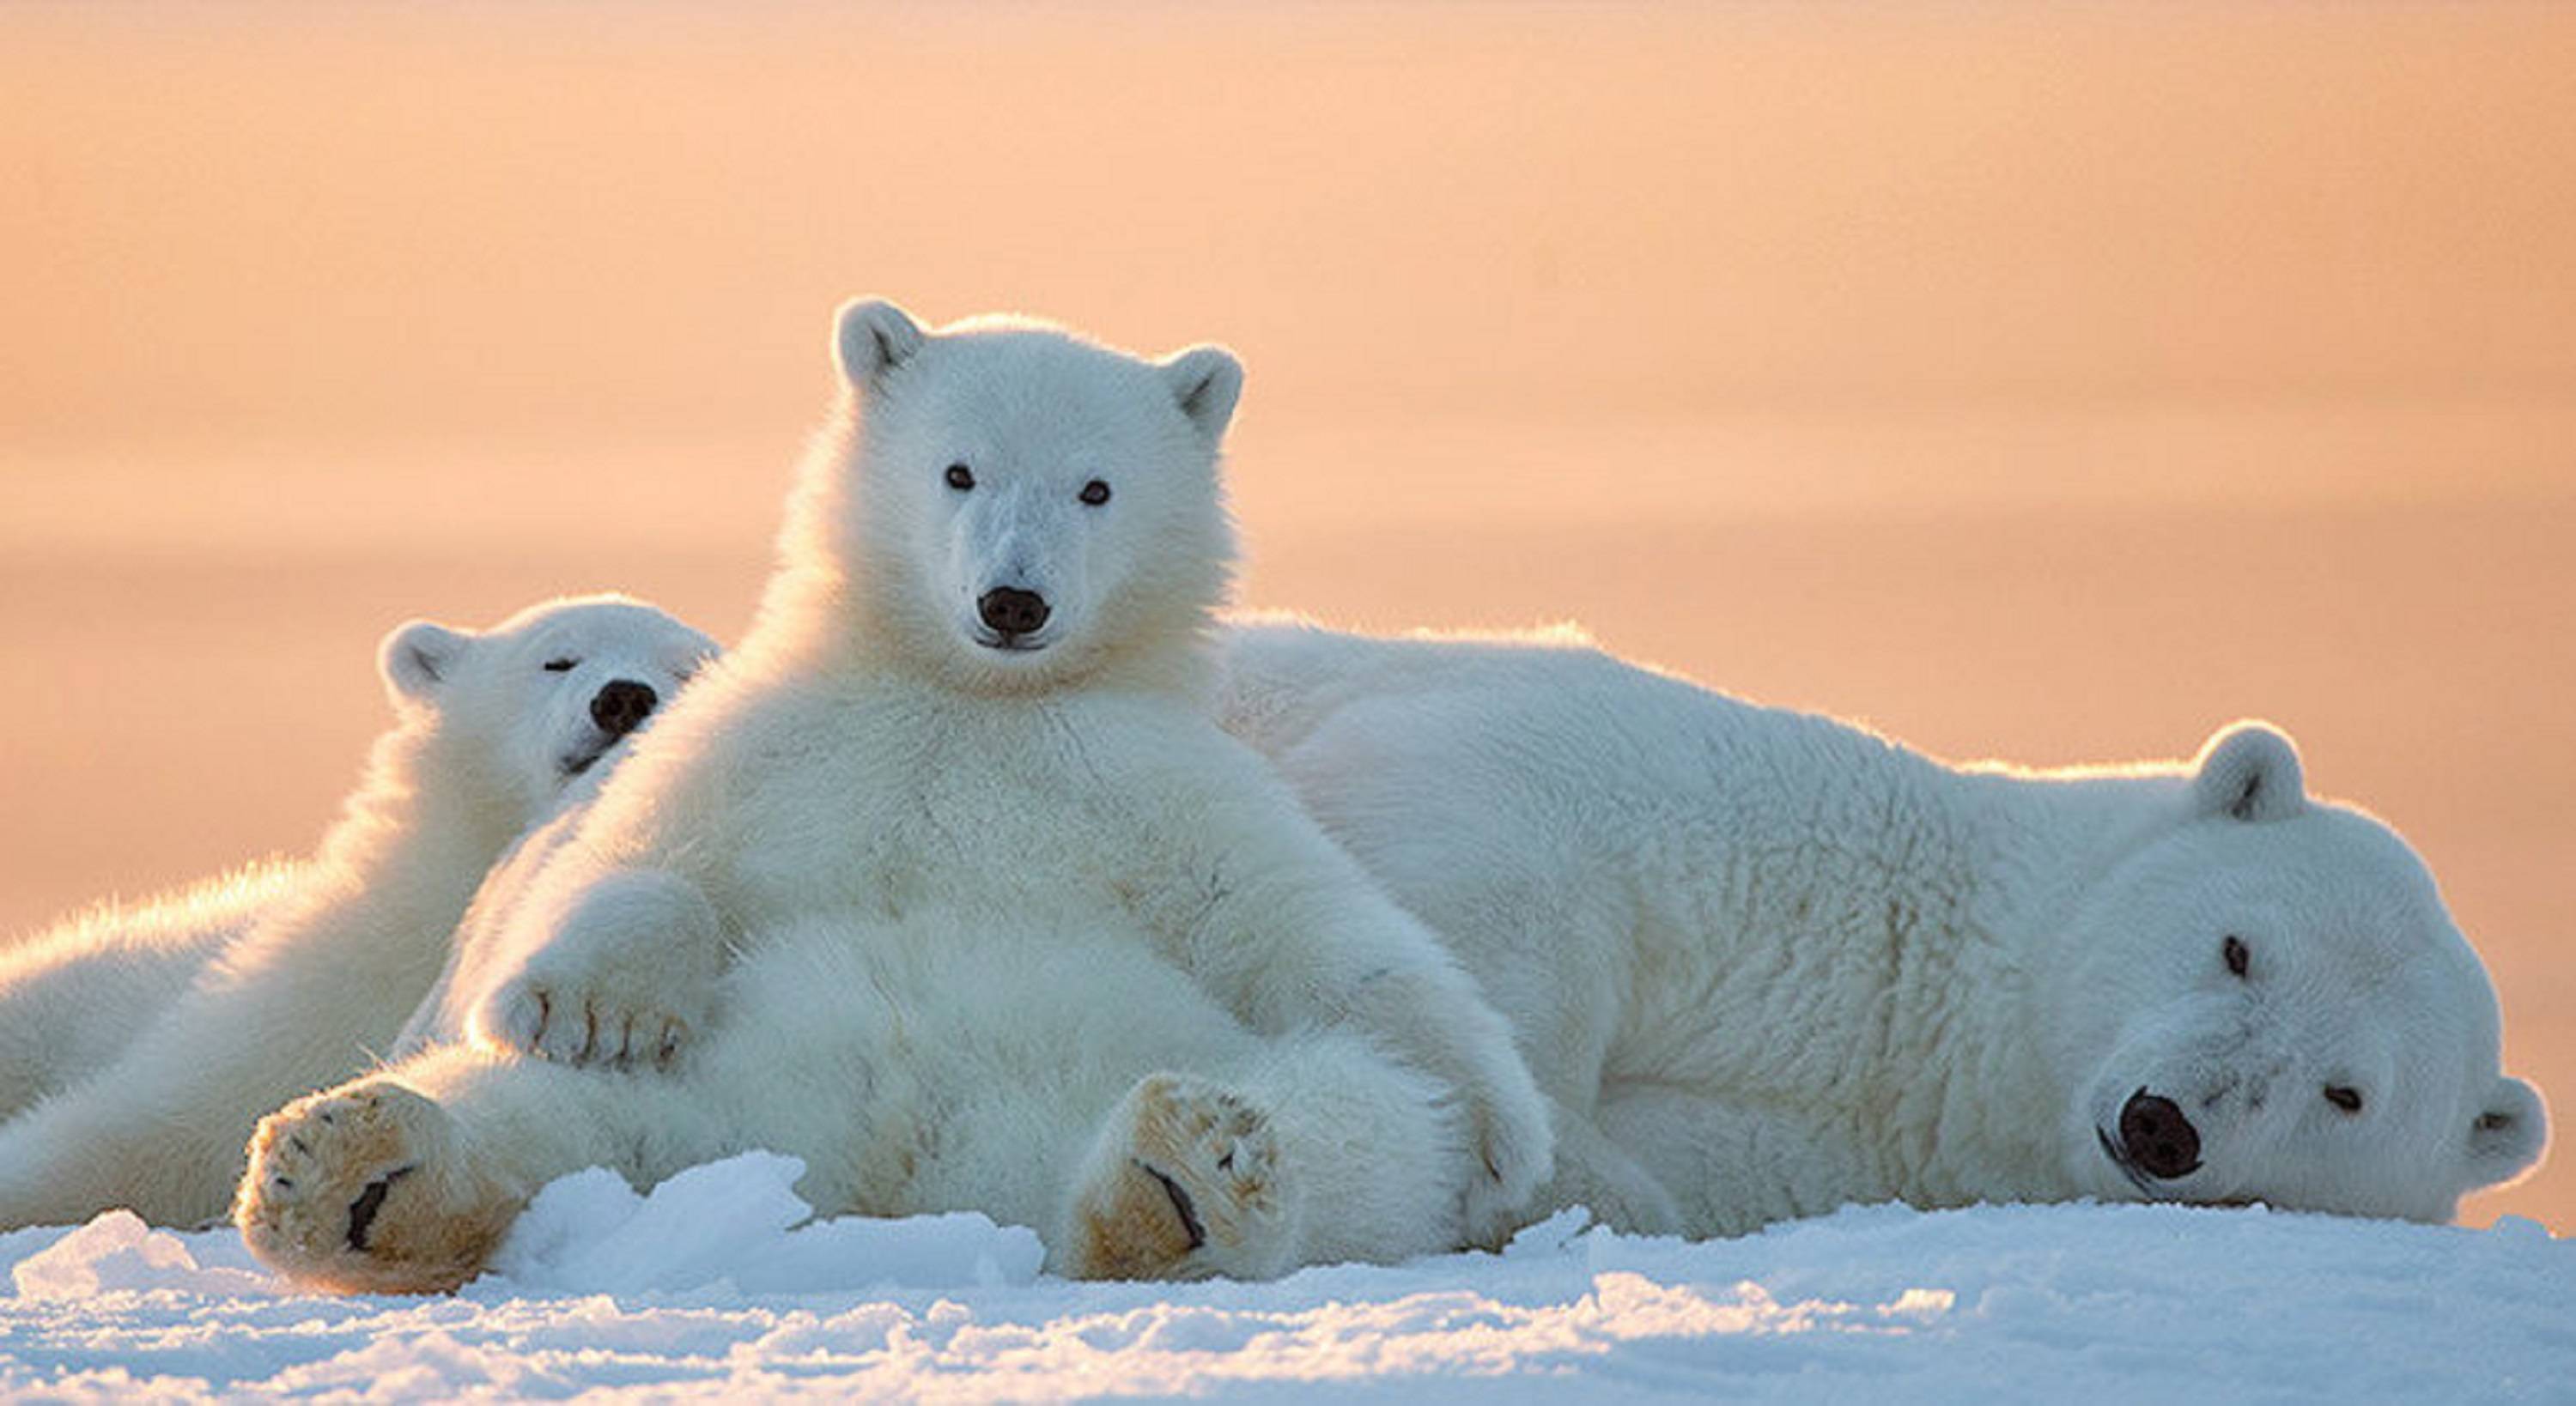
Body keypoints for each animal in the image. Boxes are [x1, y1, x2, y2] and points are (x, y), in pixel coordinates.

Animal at [232, 304, 1546, 1293]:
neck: (973, 702)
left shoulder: (1148, 774)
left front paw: (1506, 1137)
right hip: (704, 1094)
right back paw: (348, 1167)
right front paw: (596, 1002)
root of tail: (900, 1180)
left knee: (1358, 1119)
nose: (1013, 600)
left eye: (1097, 488)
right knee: (539, 1109)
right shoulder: (794, 734)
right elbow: (626, 852)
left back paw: (1186, 1177)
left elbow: (1312, 927)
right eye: (958, 469)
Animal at [1216, 621, 2545, 1226]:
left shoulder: (1846, 1154)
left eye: (2346, 1093)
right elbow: (1478, 845)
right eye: (2239, 947)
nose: (2164, 1124)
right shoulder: (1698, 794)